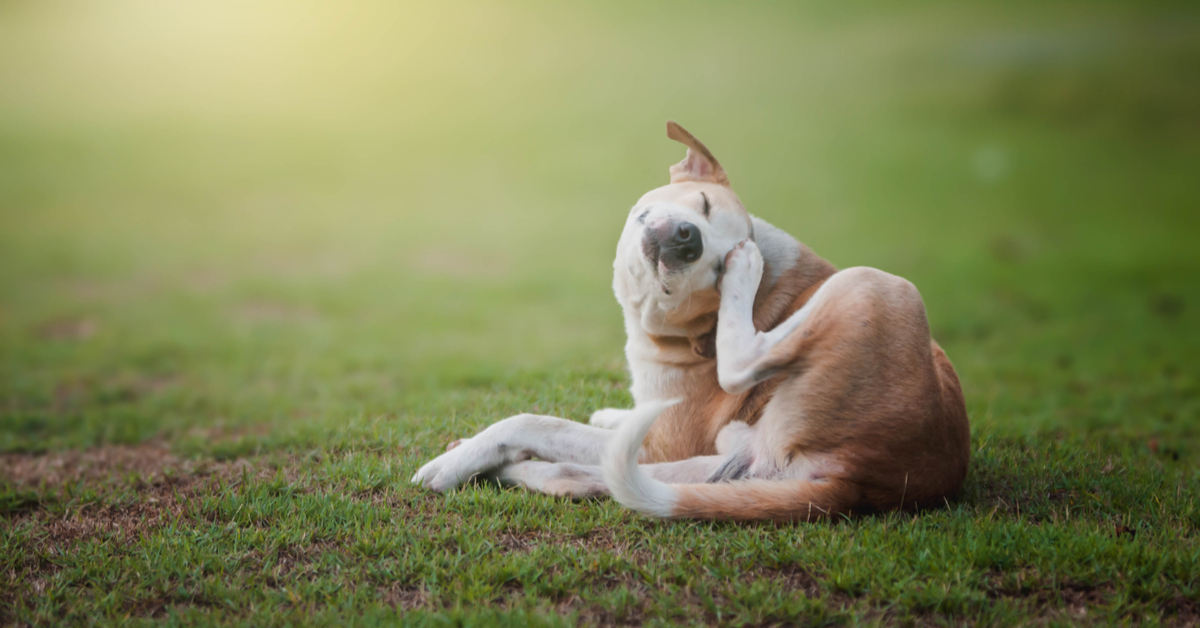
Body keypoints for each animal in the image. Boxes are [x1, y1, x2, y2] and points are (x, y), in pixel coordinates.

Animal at [412, 121, 974, 521]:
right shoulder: (665, 440)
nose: (689, 239)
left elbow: (532, 421)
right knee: (594, 477)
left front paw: (451, 465)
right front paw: (611, 413)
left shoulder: (665, 440)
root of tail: (864, 483)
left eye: (716, 270)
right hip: (725, 465)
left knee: (740, 366)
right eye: (702, 203)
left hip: (879, 285)